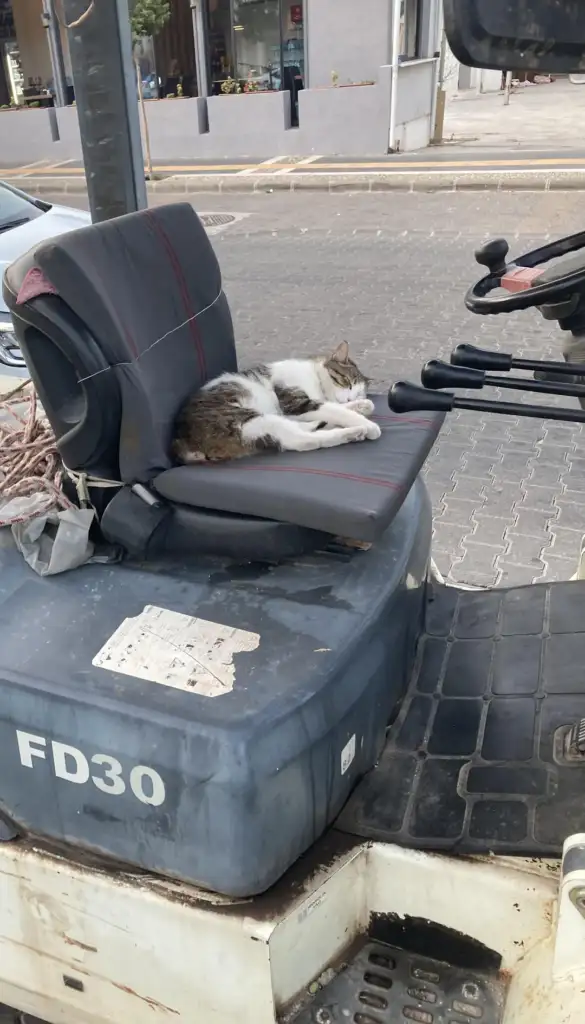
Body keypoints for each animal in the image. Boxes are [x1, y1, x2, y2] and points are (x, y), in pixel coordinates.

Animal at [172, 342, 383, 462]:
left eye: (358, 393)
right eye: (346, 382)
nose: (351, 398)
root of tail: (182, 440)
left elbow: (337, 408)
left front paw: (362, 405)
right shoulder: (296, 402)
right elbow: (336, 410)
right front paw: (367, 423)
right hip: (249, 419)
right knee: (303, 440)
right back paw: (354, 432)